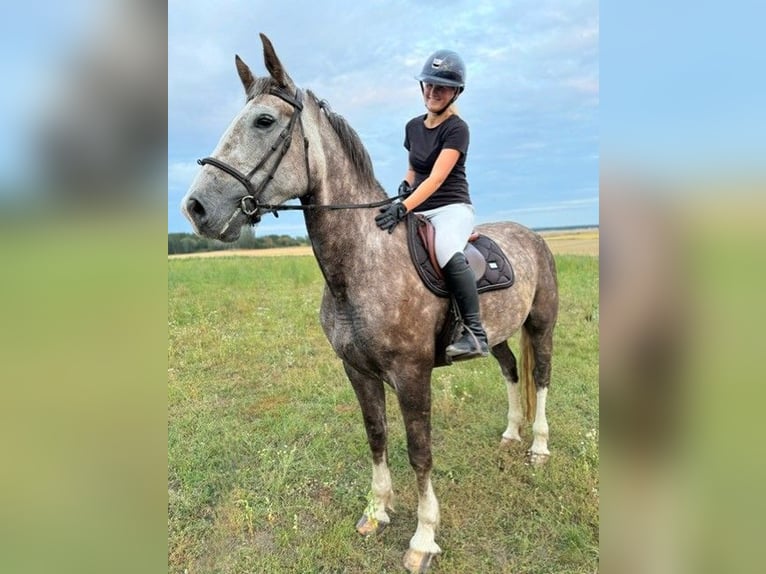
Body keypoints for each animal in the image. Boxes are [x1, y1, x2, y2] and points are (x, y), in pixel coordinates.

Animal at [183, 33, 560, 572]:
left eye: (264, 121)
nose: (196, 209)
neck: (360, 263)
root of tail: (532, 235)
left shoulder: (411, 375)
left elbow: (419, 451)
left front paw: (423, 538)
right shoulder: (357, 370)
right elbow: (376, 435)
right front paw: (377, 511)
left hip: (541, 325)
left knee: (542, 377)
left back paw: (539, 448)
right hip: (499, 334)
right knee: (511, 371)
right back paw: (511, 436)